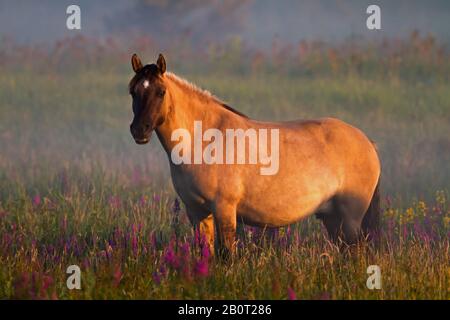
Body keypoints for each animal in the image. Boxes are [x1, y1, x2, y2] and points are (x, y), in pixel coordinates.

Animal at [128, 53, 382, 256]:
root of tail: (367, 142)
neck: (204, 141)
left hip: (350, 220)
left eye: (161, 92)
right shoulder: (197, 212)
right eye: (133, 91)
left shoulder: (224, 210)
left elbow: (226, 255)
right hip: (332, 219)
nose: (139, 130)